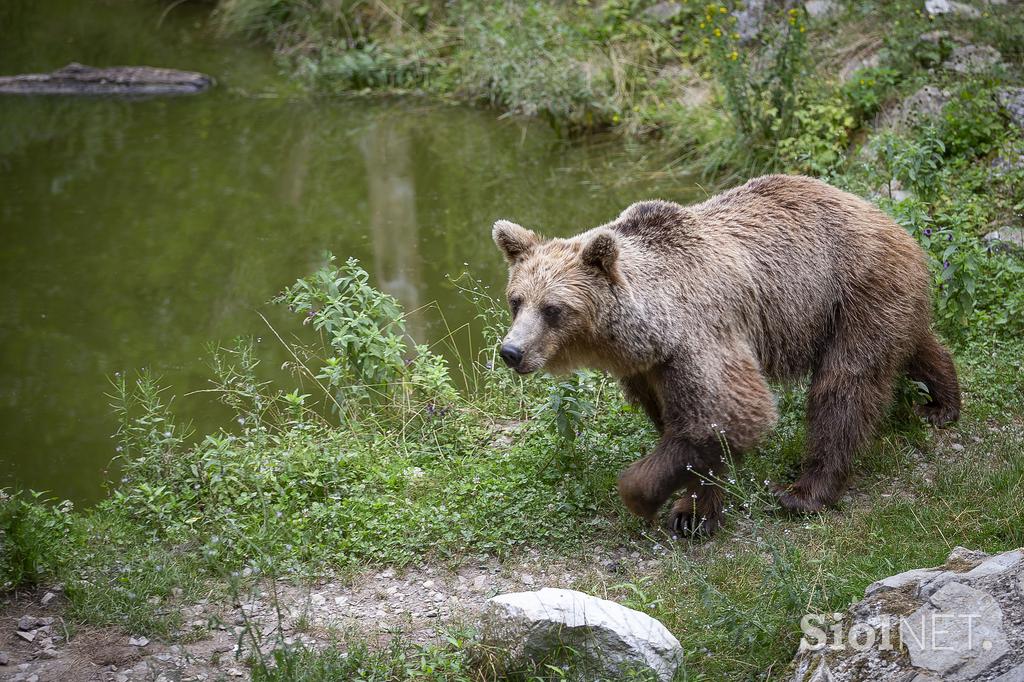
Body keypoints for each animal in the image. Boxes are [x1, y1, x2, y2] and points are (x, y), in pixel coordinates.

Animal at [493, 173, 958, 532]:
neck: (646, 331)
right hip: (867, 301)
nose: (511, 350)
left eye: (553, 309)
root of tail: (889, 218)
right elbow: (684, 425)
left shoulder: (701, 337)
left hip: (854, 288)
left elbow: (731, 413)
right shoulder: (649, 369)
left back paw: (804, 492)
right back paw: (942, 402)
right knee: (914, 344)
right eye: (516, 300)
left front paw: (652, 499)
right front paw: (693, 511)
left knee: (846, 385)